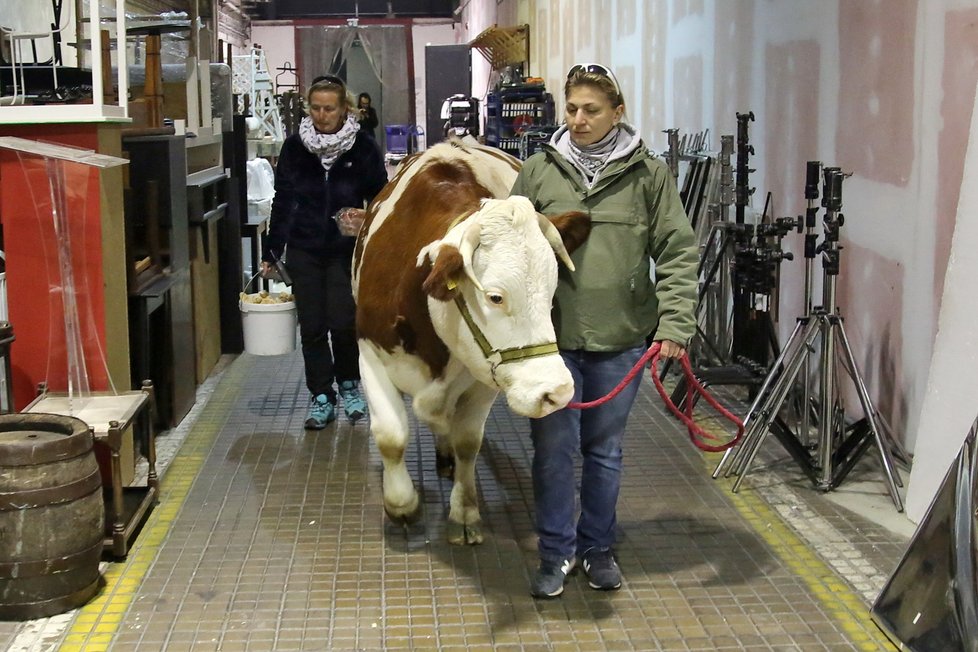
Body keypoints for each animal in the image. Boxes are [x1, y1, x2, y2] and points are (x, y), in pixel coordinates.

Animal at [356, 139, 592, 544]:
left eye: (552, 289)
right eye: (495, 297)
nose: (557, 392)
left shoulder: (488, 376)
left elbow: (468, 441)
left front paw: (465, 510)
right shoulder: (369, 352)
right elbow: (390, 436)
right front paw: (401, 505)